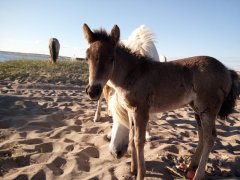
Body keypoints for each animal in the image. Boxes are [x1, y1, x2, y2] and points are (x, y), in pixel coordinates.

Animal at [83, 23, 239, 180]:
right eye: (87, 57)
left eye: (111, 58)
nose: (92, 91)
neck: (133, 74)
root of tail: (227, 71)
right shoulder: (131, 110)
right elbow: (132, 136)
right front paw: (133, 169)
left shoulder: (141, 111)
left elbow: (139, 141)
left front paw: (140, 174)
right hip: (197, 109)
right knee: (202, 135)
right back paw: (191, 167)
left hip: (208, 109)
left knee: (209, 138)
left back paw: (198, 175)